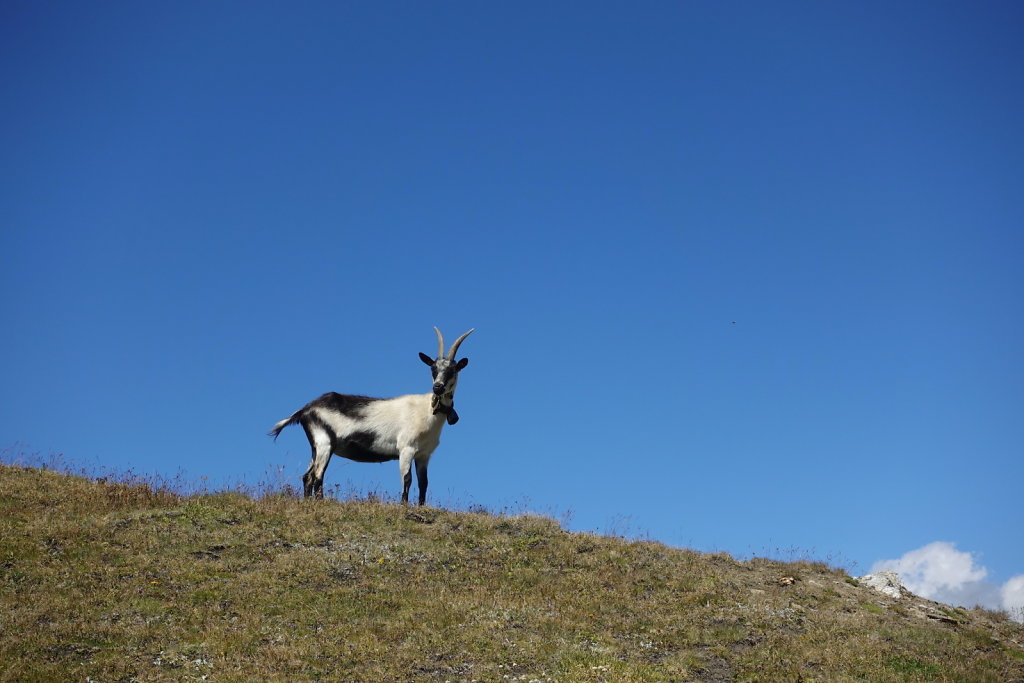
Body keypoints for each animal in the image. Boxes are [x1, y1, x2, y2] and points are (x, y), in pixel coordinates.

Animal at [264, 327, 471, 505]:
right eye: (433, 369)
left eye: (452, 370)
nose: (438, 387)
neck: (427, 410)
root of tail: (306, 409)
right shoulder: (406, 448)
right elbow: (407, 479)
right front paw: (404, 506)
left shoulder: (424, 454)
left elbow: (424, 483)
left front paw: (421, 507)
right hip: (325, 443)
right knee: (317, 476)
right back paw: (320, 503)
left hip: (316, 446)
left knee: (307, 476)